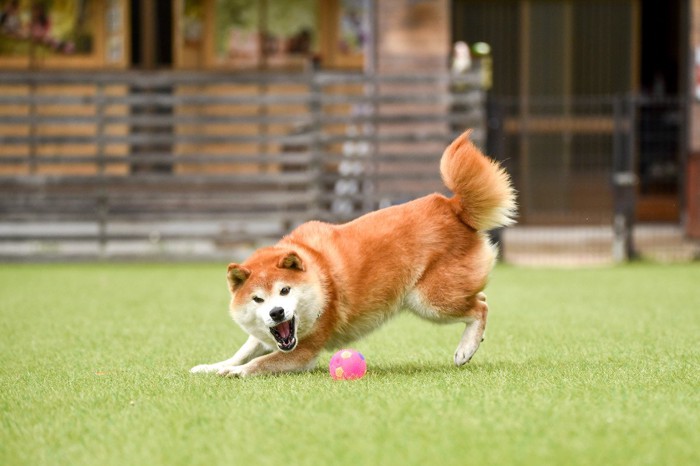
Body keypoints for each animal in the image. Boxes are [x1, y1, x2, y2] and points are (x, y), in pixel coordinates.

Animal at [190, 129, 516, 376]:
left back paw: (465, 349)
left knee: (480, 306)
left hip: (428, 300)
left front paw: (234, 372)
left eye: (284, 291)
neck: (319, 274)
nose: (277, 312)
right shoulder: (273, 336)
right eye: (258, 299)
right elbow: (245, 349)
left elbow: (259, 362)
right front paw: (213, 366)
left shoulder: (303, 351)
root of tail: (452, 205)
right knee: (481, 299)